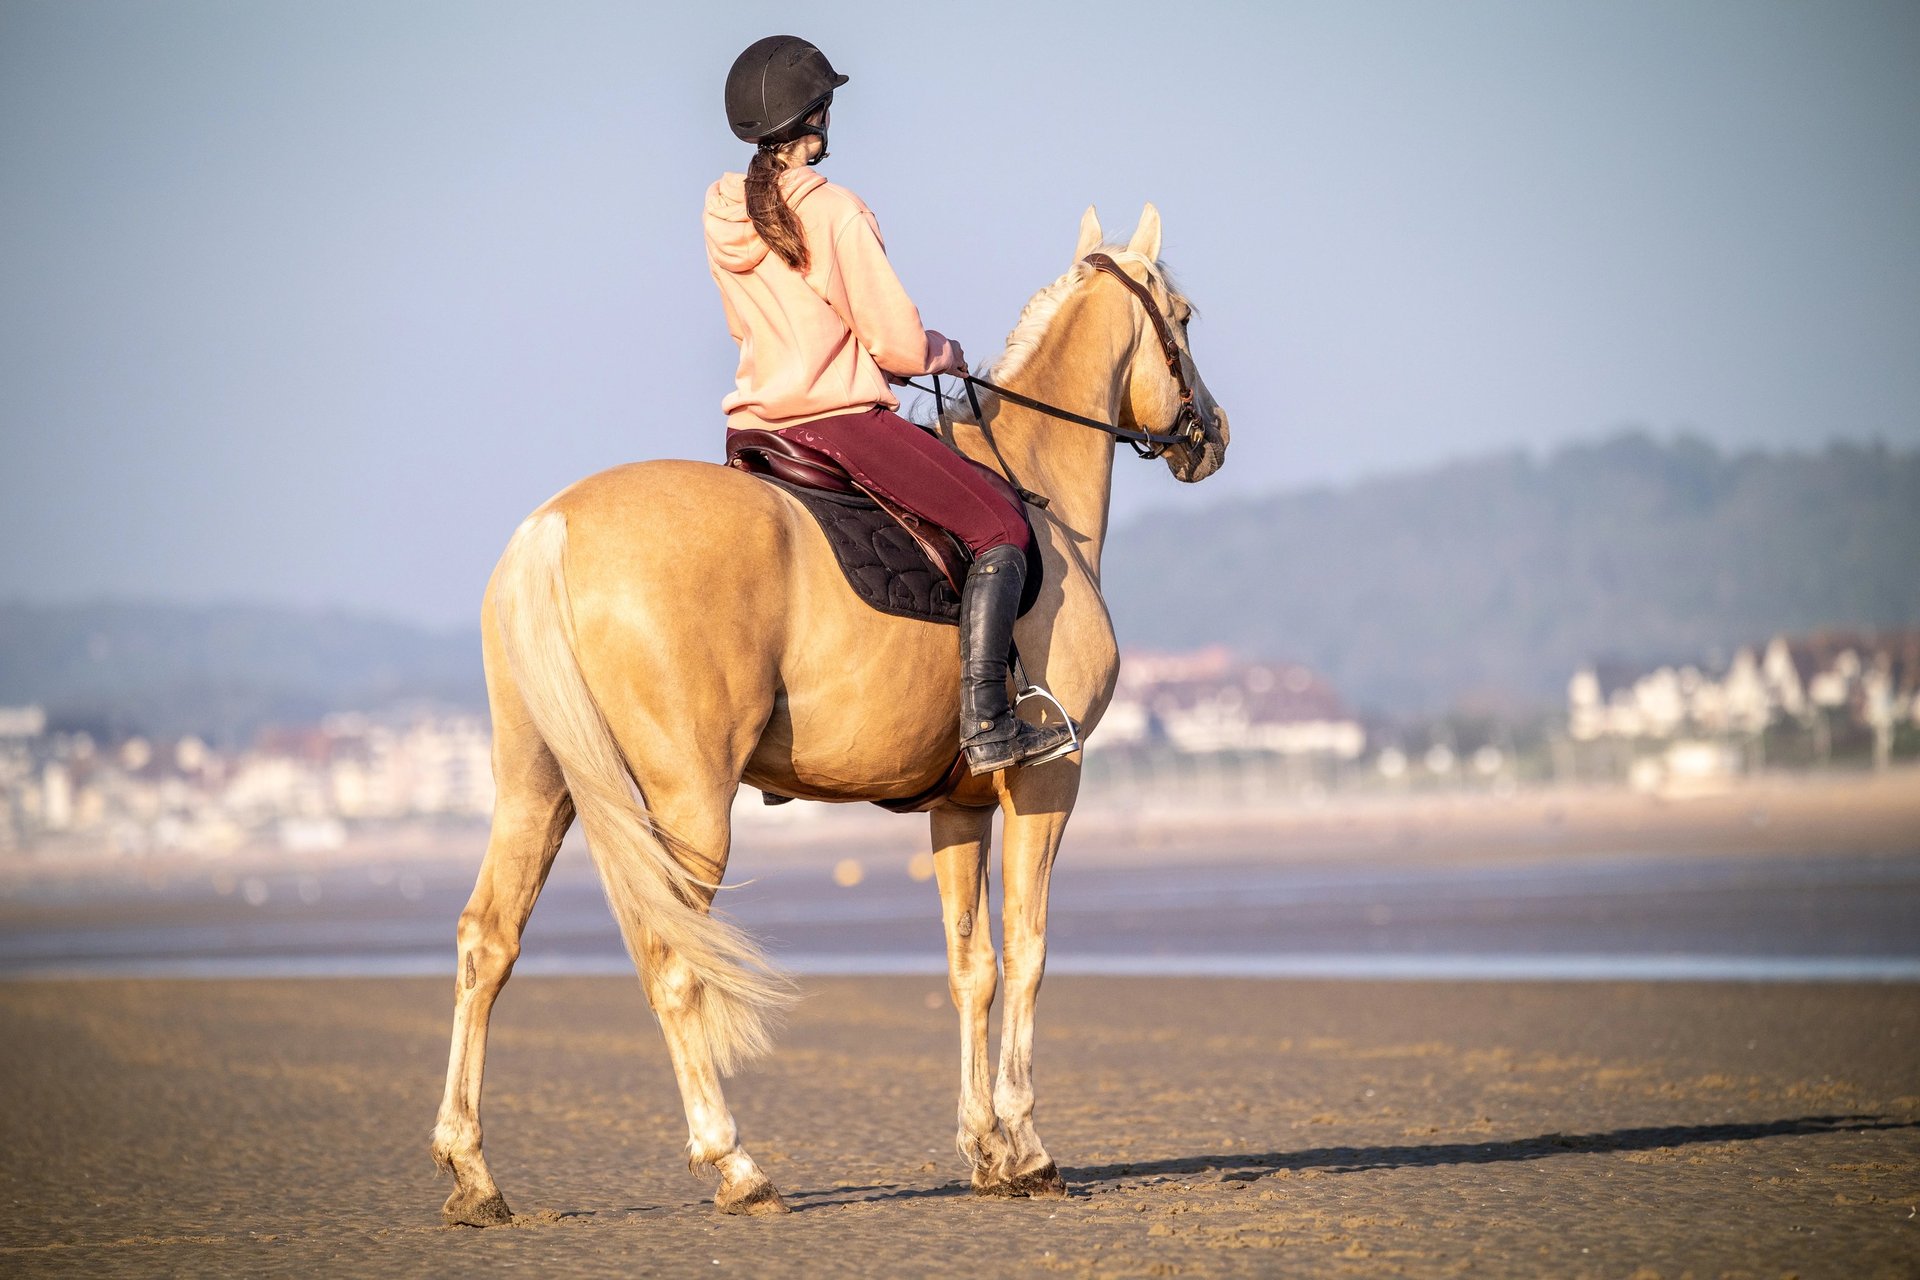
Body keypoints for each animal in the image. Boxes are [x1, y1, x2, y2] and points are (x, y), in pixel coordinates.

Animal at [430, 203, 1230, 1224]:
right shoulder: (1049, 780)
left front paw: (984, 1149)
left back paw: (472, 1171)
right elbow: (1031, 952)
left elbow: (971, 966)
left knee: (488, 943)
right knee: (675, 960)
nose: (1212, 434)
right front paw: (1029, 1146)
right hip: (690, 803)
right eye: (1187, 318)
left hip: (538, 788)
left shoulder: (958, 804)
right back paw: (735, 1165)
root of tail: (554, 526)